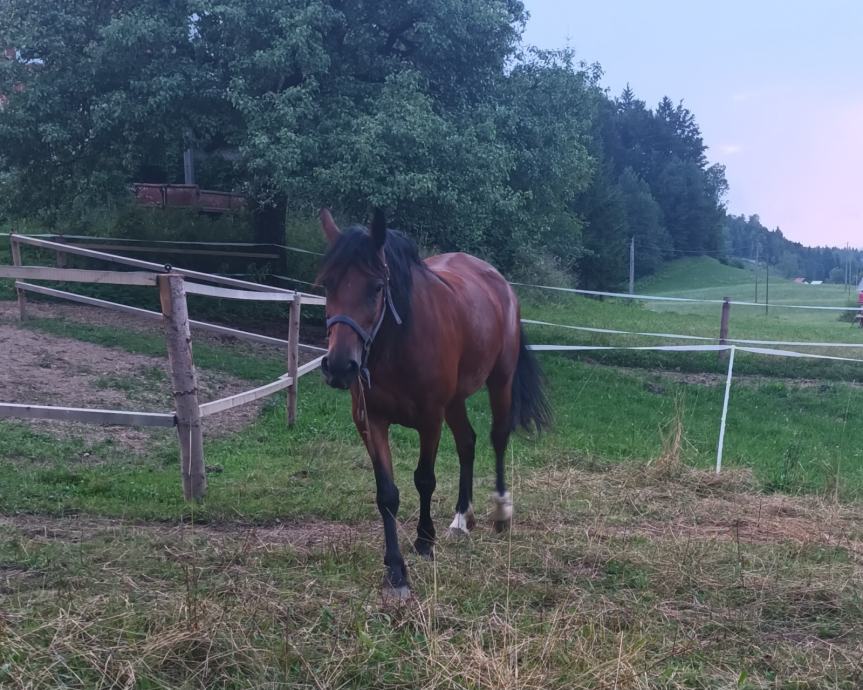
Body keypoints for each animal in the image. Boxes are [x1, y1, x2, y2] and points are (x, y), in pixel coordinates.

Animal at [317, 208, 550, 599]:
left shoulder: (429, 419)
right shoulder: (370, 421)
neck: (397, 343)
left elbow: (424, 479)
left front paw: (425, 541)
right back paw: (461, 518)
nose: (339, 367)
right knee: (467, 443)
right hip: (455, 401)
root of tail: (498, 281)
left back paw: (501, 511)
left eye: (376, 287)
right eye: (326, 285)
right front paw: (396, 571)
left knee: (498, 438)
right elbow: (387, 494)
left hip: (499, 381)